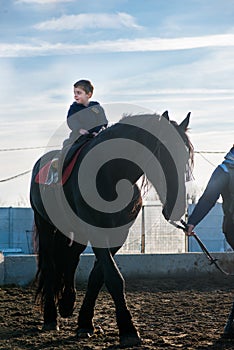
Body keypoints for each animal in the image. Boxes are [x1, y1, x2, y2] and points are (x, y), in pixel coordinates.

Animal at [30, 110, 193, 346]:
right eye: (162, 152)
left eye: (185, 155)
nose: (177, 207)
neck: (110, 175)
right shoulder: (96, 232)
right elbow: (114, 278)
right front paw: (128, 329)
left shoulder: (118, 234)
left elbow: (98, 276)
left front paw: (85, 323)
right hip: (45, 226)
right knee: (51, 267)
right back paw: (51, 317)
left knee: (70, 259)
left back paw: (67, 303)